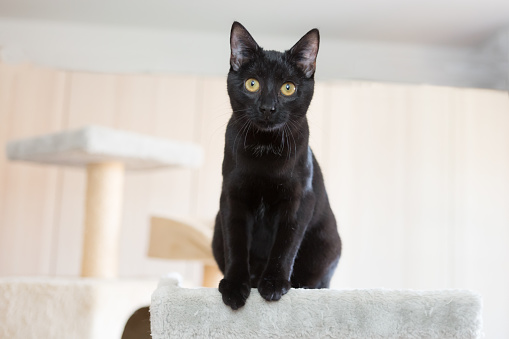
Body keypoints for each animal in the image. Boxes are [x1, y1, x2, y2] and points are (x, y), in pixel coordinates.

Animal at [211, 21, 342, 310]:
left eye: (288, 88)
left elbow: (286, 243)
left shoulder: (299, 200)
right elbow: (236, 242)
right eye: (252, 84)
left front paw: (274, 285)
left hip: (328, 246)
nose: (268, 108)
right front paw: (235, 286)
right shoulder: (232, 197)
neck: (265, 150)